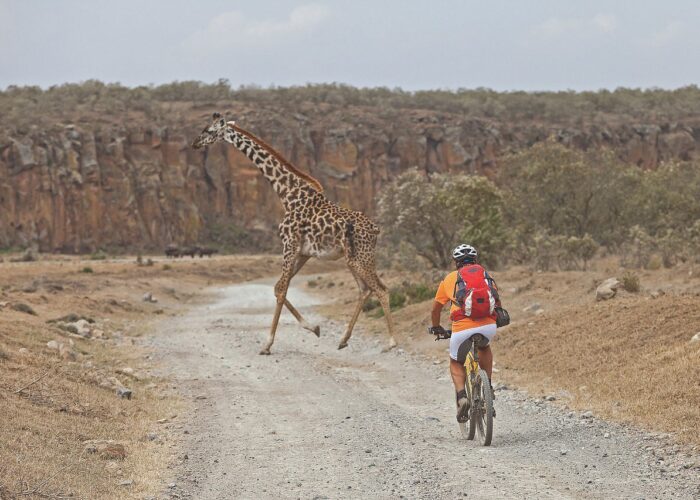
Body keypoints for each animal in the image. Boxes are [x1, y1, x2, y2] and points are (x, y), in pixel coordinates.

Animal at [191, 113, 400, 356]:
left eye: (208, 130)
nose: (195, 143)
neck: (286, 193)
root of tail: (376, 229)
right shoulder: (303, 252)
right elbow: (277, 288)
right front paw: (314, 328)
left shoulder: (289, 244)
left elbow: (281, 290)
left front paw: (267, 344)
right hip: (352, 259)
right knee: (365, 290)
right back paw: (343, 339)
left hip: (362, 257)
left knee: (381, 289)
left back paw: (392, 342)